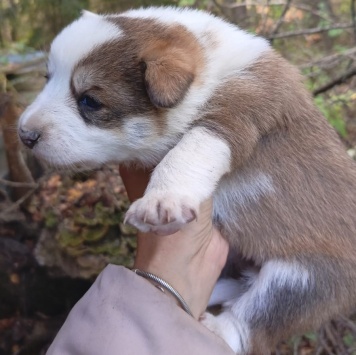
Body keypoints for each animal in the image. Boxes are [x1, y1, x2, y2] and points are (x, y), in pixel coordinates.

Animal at [18, 6, 356, 354]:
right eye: (47, 79)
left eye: (89, 101)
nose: (24, 135)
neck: (209, 63)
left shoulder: (233, 114)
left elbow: (186, 153)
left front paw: (160, 201)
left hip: (306, 278)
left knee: (258, 315)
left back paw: (218, 326)